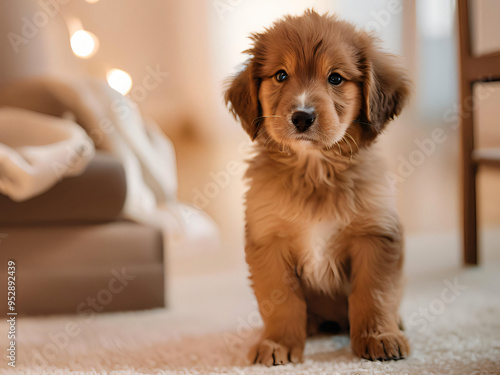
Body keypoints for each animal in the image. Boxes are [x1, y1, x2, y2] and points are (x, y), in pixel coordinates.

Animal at [226, 9, 410, 368]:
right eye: (281, 75)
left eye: (335, 78)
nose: (302, 117)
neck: (315, 171)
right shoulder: (269, 241)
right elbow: (282, 302)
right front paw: (278, 342)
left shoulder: (376, 235)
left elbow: (374, 294)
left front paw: (378, 336)